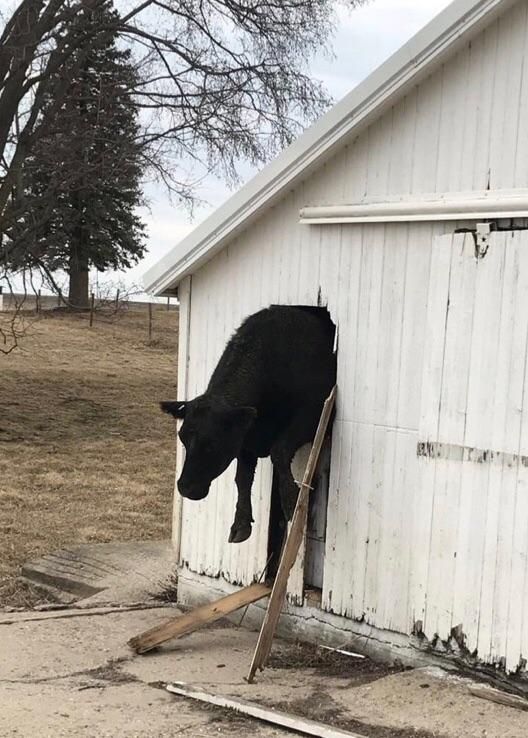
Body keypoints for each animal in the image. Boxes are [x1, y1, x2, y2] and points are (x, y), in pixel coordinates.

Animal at [160, 304, 338, 540]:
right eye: (182, 438)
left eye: (212, 444)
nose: (185, 487)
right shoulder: (244, 436)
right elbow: (242, 478)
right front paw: (241, 523)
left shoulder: (315, 410)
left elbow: (279, 451)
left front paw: (292, 502)